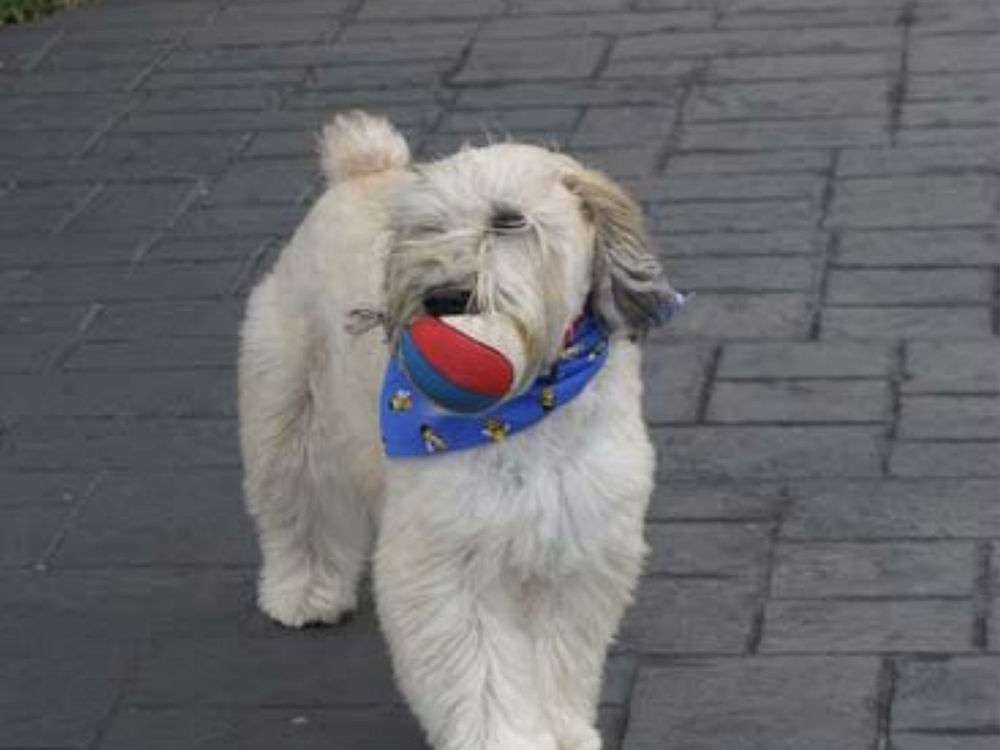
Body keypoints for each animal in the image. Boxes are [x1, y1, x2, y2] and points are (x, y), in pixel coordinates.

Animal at [240, 111, 680, 750]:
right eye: (429, 229)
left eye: (509, 219)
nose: (444, 297)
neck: (523, 410)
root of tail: (361, 170)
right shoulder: (448, 557)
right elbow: (484, 673)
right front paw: (505, 739)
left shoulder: (575, 545)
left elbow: (555, 660)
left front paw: (561, 731)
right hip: (291, 409)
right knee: (300, 507)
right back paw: (305, 590)